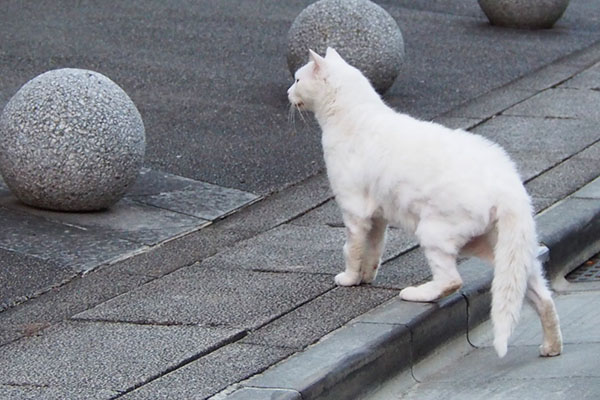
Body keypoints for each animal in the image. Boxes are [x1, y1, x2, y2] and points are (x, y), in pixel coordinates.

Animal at [290, 48, 564, 358]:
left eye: (297, 79)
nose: (288, 91)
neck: (354, 116)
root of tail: (510, 186)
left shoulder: (354, 211)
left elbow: (352, 249)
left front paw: (349, 279)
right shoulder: (378, 216)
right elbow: (373, 249)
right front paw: (366, 277)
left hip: (434, 232)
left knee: (452, 281)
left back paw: (417, 293)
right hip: (503, 251)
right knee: (542, 296)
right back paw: (552, 347)